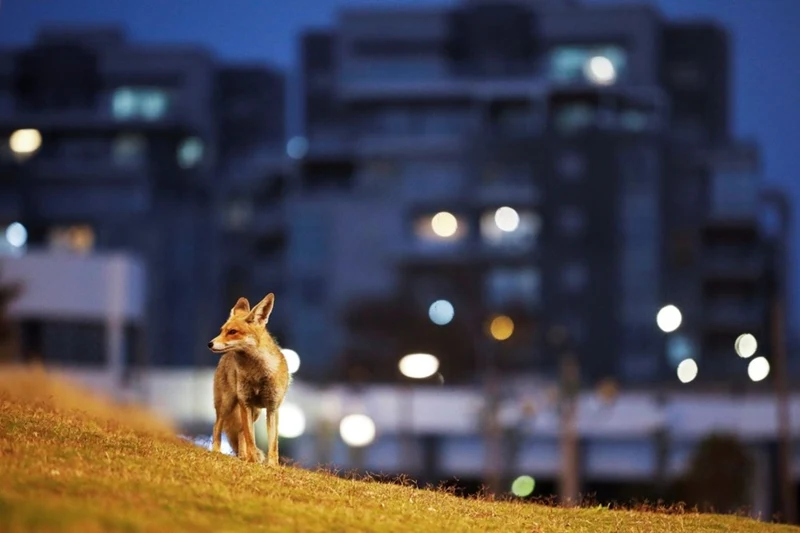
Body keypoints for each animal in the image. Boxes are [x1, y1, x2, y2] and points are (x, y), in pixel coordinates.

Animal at [209, 294, 290, 464]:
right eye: (222, 331)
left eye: (232, 331)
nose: (210, 344)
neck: (258, 374)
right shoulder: (245, 402)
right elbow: (251, 440)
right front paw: (254, 463)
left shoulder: (272, 408)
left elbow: (273, 445)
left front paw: (272, 466)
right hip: (227, 404)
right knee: (218, 426)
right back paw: (217, 451)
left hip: (256, 412)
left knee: (240, 432)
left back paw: (242, 457)